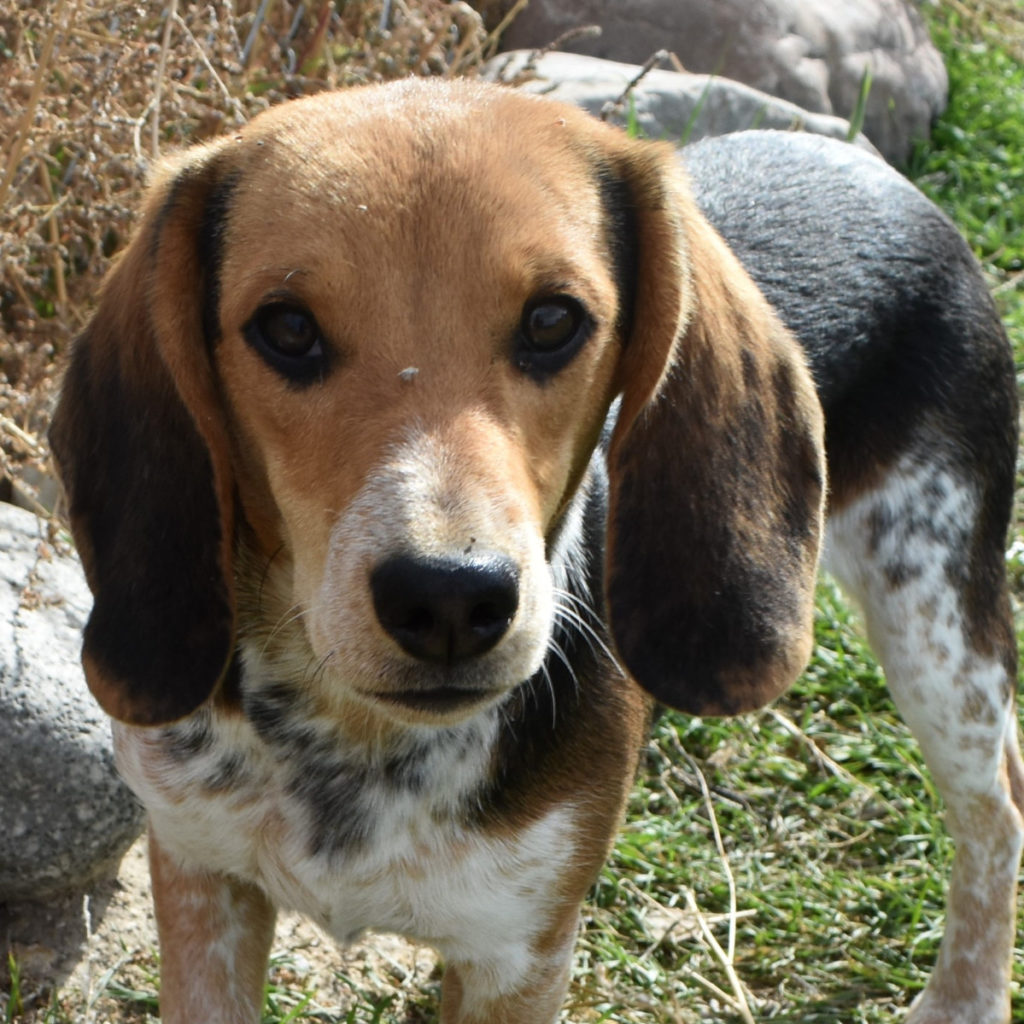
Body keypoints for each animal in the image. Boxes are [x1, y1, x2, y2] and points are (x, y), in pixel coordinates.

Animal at [49, 79, 1024, 1024]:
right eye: (286, 329)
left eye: (553, 321)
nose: (448, 598)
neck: (352, 741)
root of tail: (866, 165)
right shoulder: (199, 876)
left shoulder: (519, 953)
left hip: (937, 623)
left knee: (997, 803)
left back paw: (965, 998)